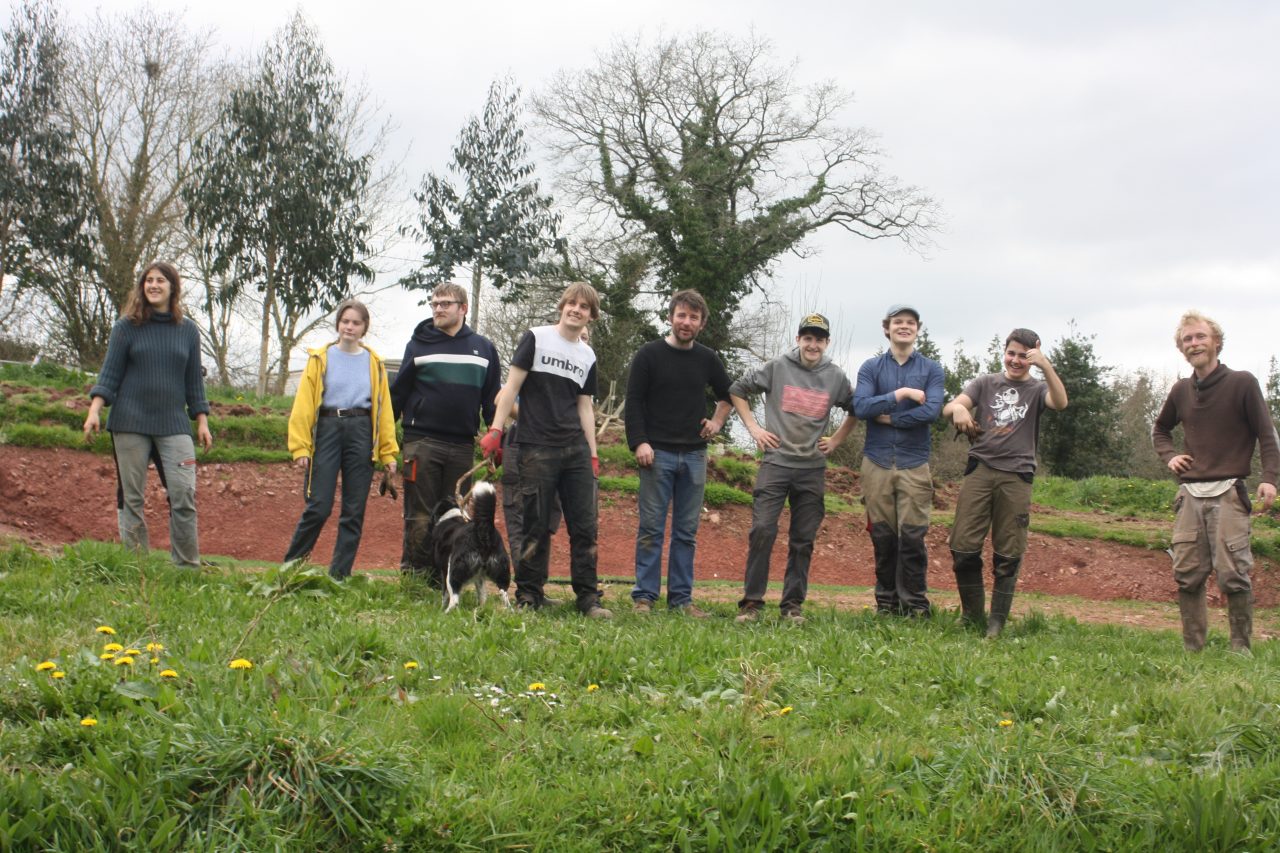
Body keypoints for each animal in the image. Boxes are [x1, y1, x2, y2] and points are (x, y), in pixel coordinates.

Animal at [430, 479, 509, 612]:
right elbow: (482, 594)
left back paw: (445, 613)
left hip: (453, 571)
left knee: (455, 599)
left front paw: (441, 607)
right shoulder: (480, 575)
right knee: (505, 597)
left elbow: (444, 594)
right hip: (500, 571)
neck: (452, 515)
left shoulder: (444, 570)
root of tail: (483, 529)